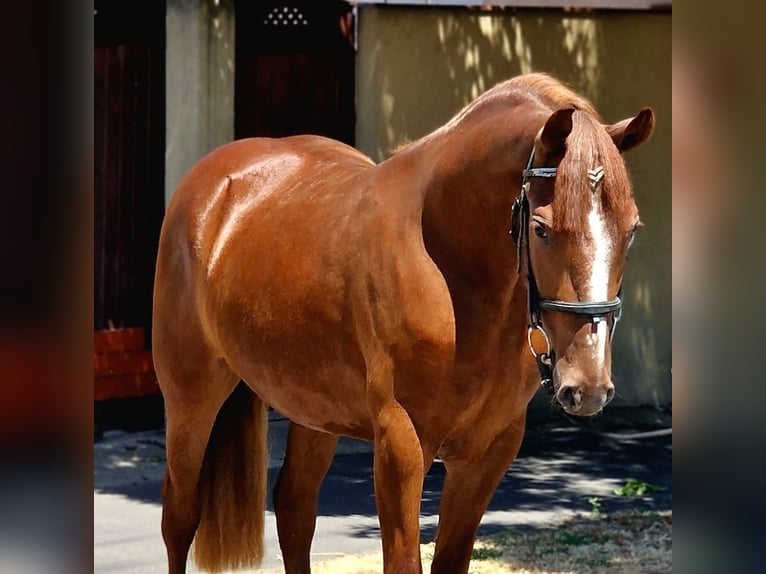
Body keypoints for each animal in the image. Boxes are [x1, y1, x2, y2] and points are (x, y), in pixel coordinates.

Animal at [154, 74, 656, 572]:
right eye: (541, 228)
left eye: (632, 230)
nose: (587, 386)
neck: (448, 268)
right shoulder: (401, 443)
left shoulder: (488, 452)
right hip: (191, 397)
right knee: (180, 516)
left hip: (316, 410)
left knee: (294, 509)